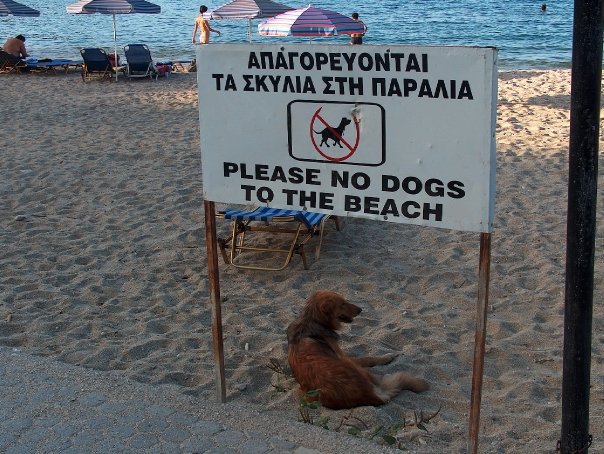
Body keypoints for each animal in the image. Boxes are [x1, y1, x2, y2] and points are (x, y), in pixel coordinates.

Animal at [286, 292, 428, 410]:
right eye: (342, 303)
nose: (360, 309)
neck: (313, 320)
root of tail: (371, 395)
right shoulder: (343, 355)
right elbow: (368, 358)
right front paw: (388, 356)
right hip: (352, 365)